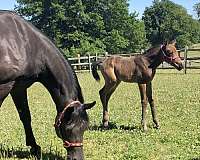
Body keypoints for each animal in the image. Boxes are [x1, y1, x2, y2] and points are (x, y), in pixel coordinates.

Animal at [0, 10, 95, 159]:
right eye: (69, 128)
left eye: (85, 127)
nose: (77, 158)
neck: (24, 43)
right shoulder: (5, 86)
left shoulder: (19, 87)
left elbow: (25, 116)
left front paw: (34, 147)